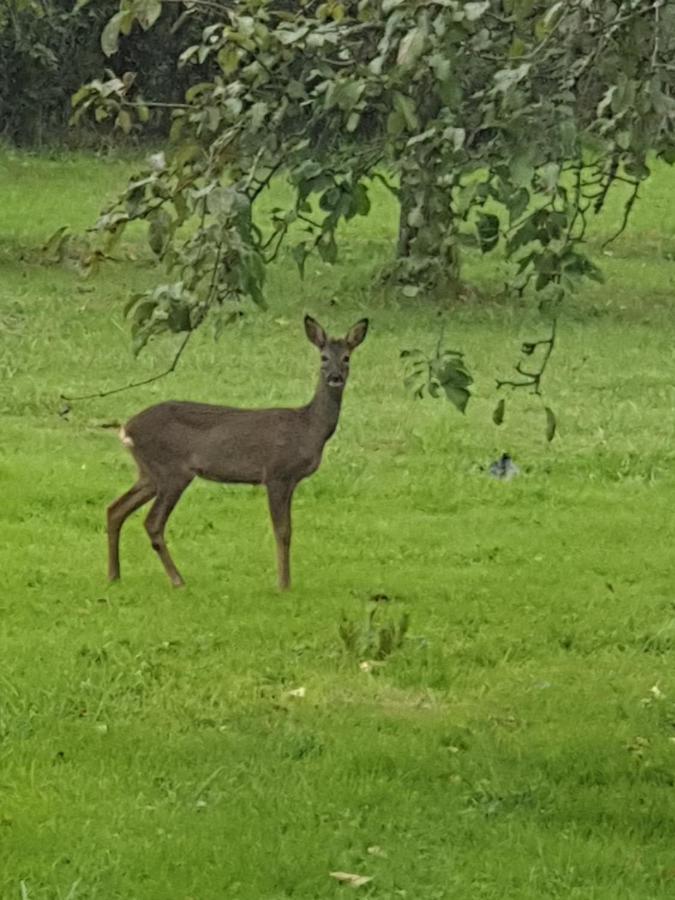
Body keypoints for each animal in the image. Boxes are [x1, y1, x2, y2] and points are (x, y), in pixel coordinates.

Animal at [106, 314, 370, 592]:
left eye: (346, 357)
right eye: (323, 357)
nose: (335, 377)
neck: (309, 428)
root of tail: (126, 428)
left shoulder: (289, 480)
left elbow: (288, 530)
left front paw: (285, 581)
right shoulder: (277, 473)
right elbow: (282, 531)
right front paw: (283, 584)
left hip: (149, 473)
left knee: (115, 509)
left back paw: (114, 575)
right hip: (171, 471)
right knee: (152, 522)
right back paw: (177, 580)